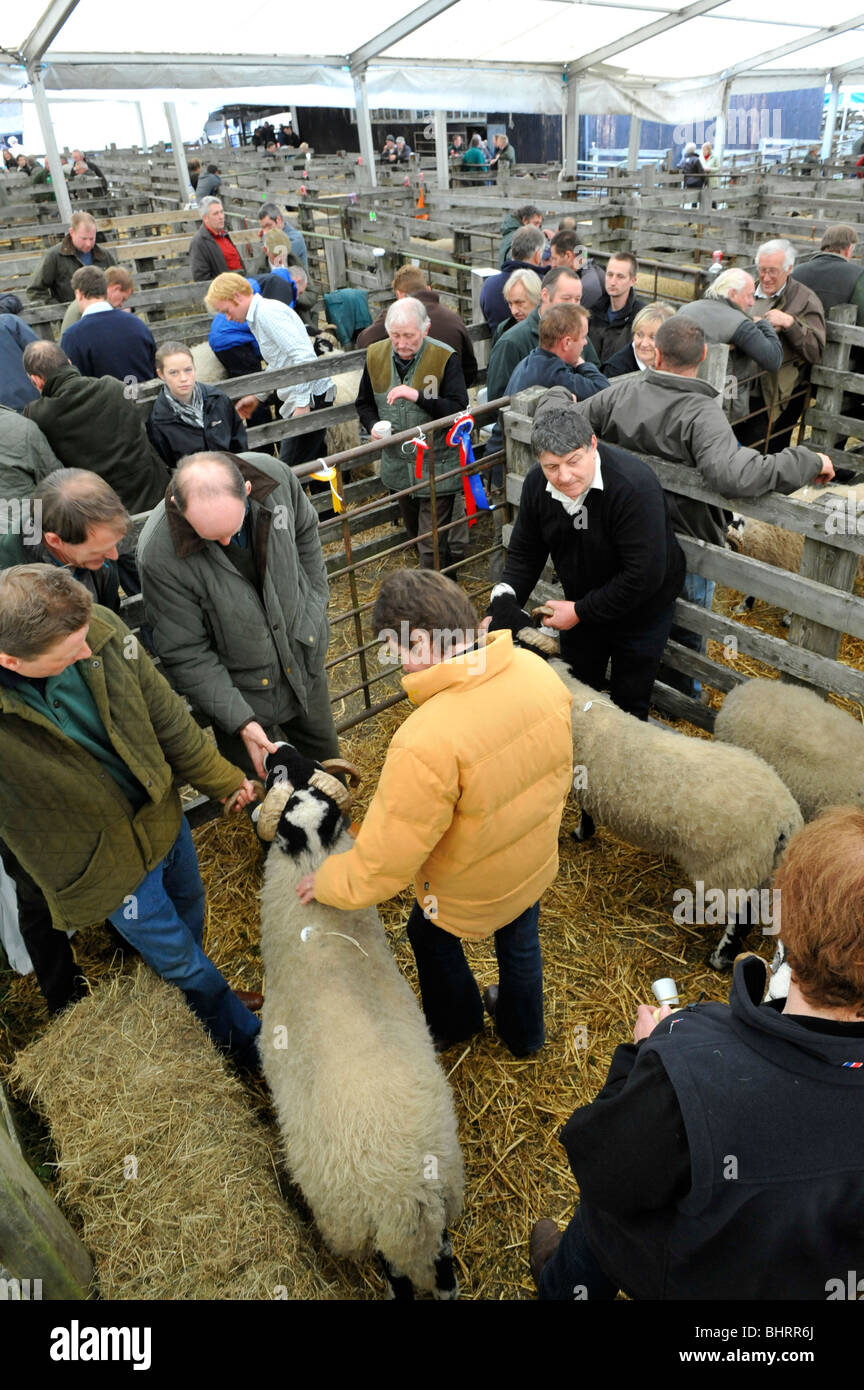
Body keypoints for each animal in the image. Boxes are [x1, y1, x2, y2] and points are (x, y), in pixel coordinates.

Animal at [552, 658, 811, 967]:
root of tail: (786, 816)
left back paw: (719, 959)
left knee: (741, 918)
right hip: (759, 869)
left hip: (730, 868)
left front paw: (578, 833)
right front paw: (585, 832)